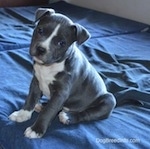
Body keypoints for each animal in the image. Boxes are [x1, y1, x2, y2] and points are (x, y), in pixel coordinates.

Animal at [8, 8, 116, 139]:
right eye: (40, 30)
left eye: (62, 43)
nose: (41, 49)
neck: (50, 66)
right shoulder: (36, 82)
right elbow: (30, 99)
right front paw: (22, 114)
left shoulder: (61, 93)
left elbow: (49, 111)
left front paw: (36, 129)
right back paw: (41, 105)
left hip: (108, 100)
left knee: (86, 114)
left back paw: (68, 117)